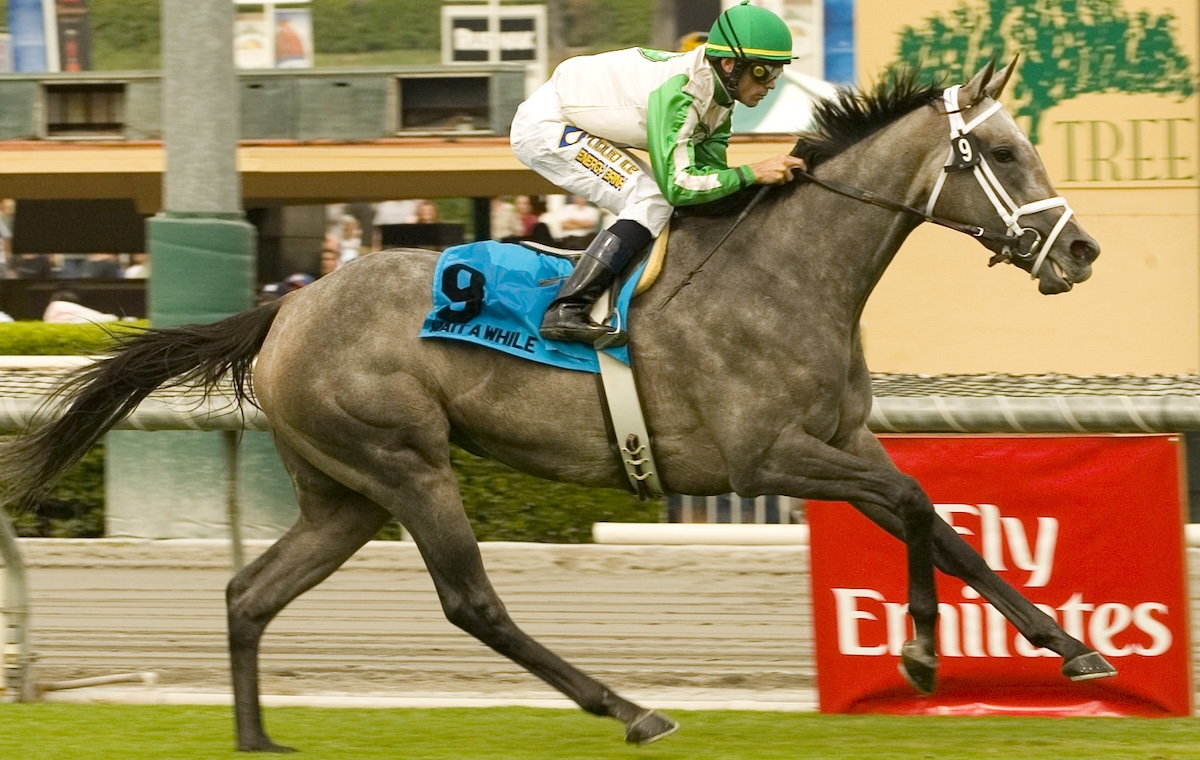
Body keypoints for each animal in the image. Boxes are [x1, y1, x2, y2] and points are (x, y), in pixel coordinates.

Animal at [4, 57, 1113, 749]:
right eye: (1004, 154)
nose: (1082, 252)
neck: (790, 273)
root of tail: (286, 309)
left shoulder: (840, 443)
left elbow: (942, 525)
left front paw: (1072, 650)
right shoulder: (769, 457)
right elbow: (921, 507)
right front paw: (922, 656)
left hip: (343, 494)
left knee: (248, 593)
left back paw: (257, 738)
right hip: (406, 463)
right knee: (471, 601)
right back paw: (630, 709)